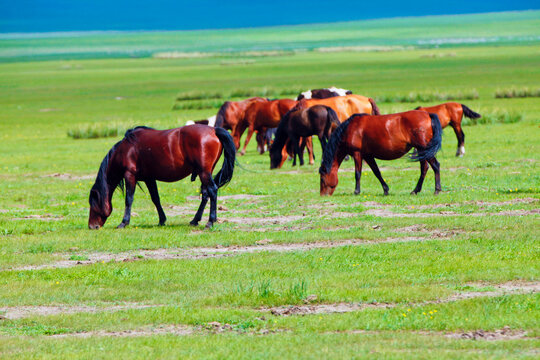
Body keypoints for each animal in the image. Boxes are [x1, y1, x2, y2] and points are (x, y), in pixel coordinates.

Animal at [87, 125, 235, 229]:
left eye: (92, 204)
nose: (92, 226)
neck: (125, 149)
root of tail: (214, 130)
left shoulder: (130, 175)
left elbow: (129, 200)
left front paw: (124, 222)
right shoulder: (149, 178)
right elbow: (155, 199)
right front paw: (162, 220)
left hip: (204, 172)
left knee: (212, 191)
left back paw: (210, 222)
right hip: (204, 172)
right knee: (205, 194)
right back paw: (195, 220)